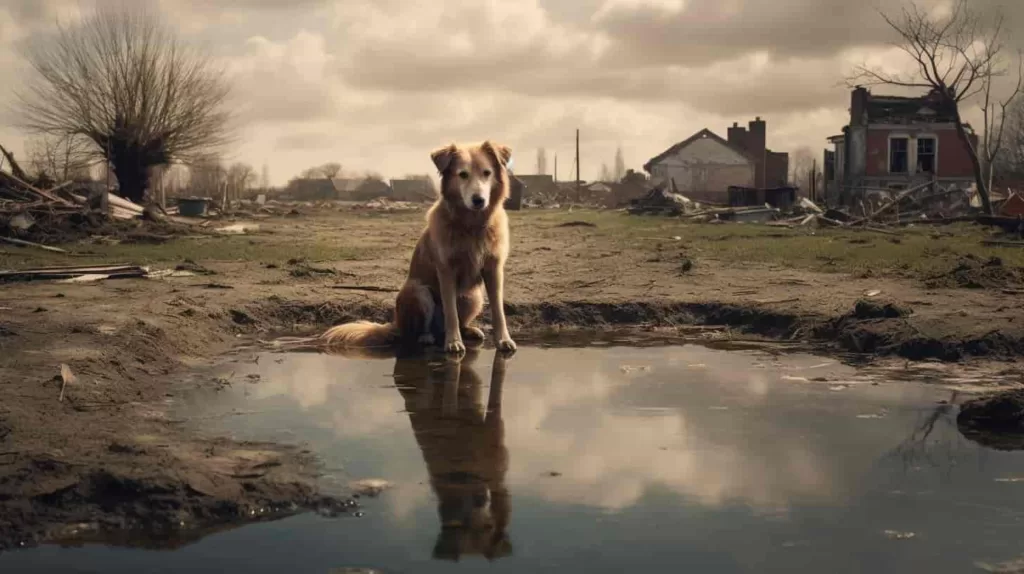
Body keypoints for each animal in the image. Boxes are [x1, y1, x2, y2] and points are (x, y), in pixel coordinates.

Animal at [319, 140, 516, 354]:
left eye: (487, 173)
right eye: (462, 174)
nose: (478, 200)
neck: (472, 225)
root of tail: (395, 322)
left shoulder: (494, 269)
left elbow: (498, 310)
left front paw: (503, 340)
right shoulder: (446, 271)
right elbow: (451, 312)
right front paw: (453, 342)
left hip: (473, 297)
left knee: (460, 321)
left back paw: (469, 330)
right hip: (419, 292)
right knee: (417, 331)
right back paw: (427, 337)